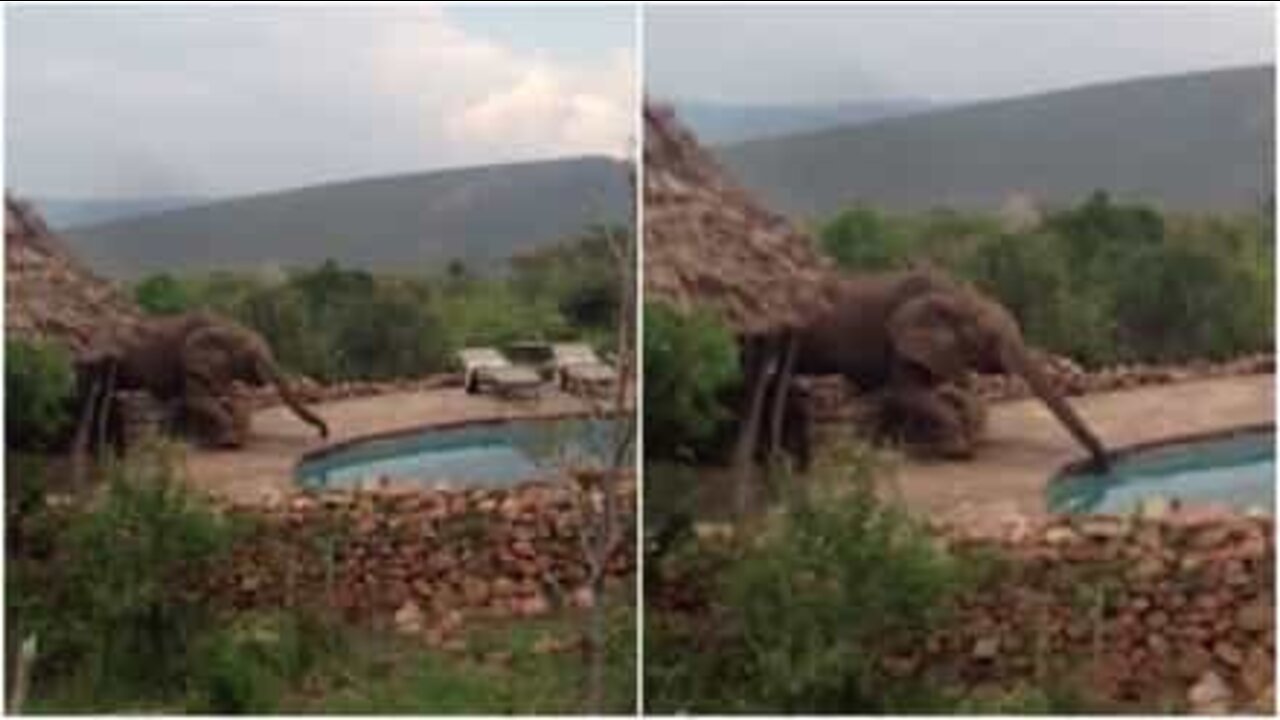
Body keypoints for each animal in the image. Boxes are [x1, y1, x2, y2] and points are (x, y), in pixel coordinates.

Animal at [77, 310, 327, 448]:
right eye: (253, 354)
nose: (323, 435)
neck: (226, 325)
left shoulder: (216, 368)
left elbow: (231, 395)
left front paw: (235, 440)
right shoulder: (193, 361)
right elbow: (196, 399)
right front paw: (229, 443)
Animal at [798, 266, 1111, 468]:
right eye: (990, 338)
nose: (1103, 463)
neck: (957, 295)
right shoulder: (903, 340)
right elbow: (909, 393)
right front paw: (957, 451)